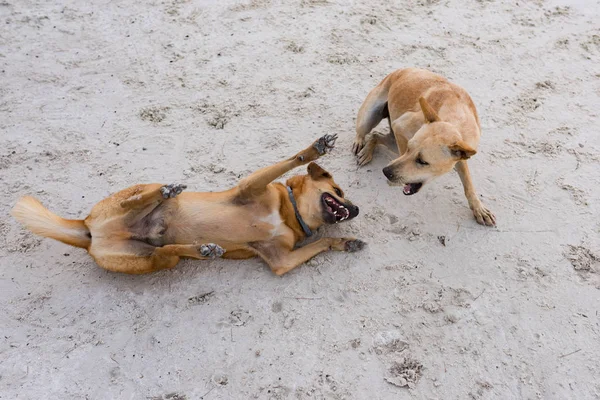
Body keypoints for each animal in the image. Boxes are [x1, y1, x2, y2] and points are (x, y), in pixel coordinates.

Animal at [11, 134, 364, 276]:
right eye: (338, 190)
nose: (358, 209)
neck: (289, 213)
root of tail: (86, 229)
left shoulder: (281, 261)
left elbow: (321, 244)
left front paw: (344, 242)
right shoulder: (250, 186)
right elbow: (292, 160)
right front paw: (315, 148)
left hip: (148, 260)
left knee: (166, 252)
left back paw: (202, 249)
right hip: (138, 194)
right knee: (143, 198)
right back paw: (166, 193)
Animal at [352, 68, 496, 225]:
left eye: (422, 161)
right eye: (409, 148)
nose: (386, 171)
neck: (457, 122)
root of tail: (400, 70)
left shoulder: (461, 155)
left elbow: (468, 183)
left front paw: (478, 208)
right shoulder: (400, 127)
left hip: (392, 140)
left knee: (376, 135)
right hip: (369, 121)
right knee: (366, 133)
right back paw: (362, 146)